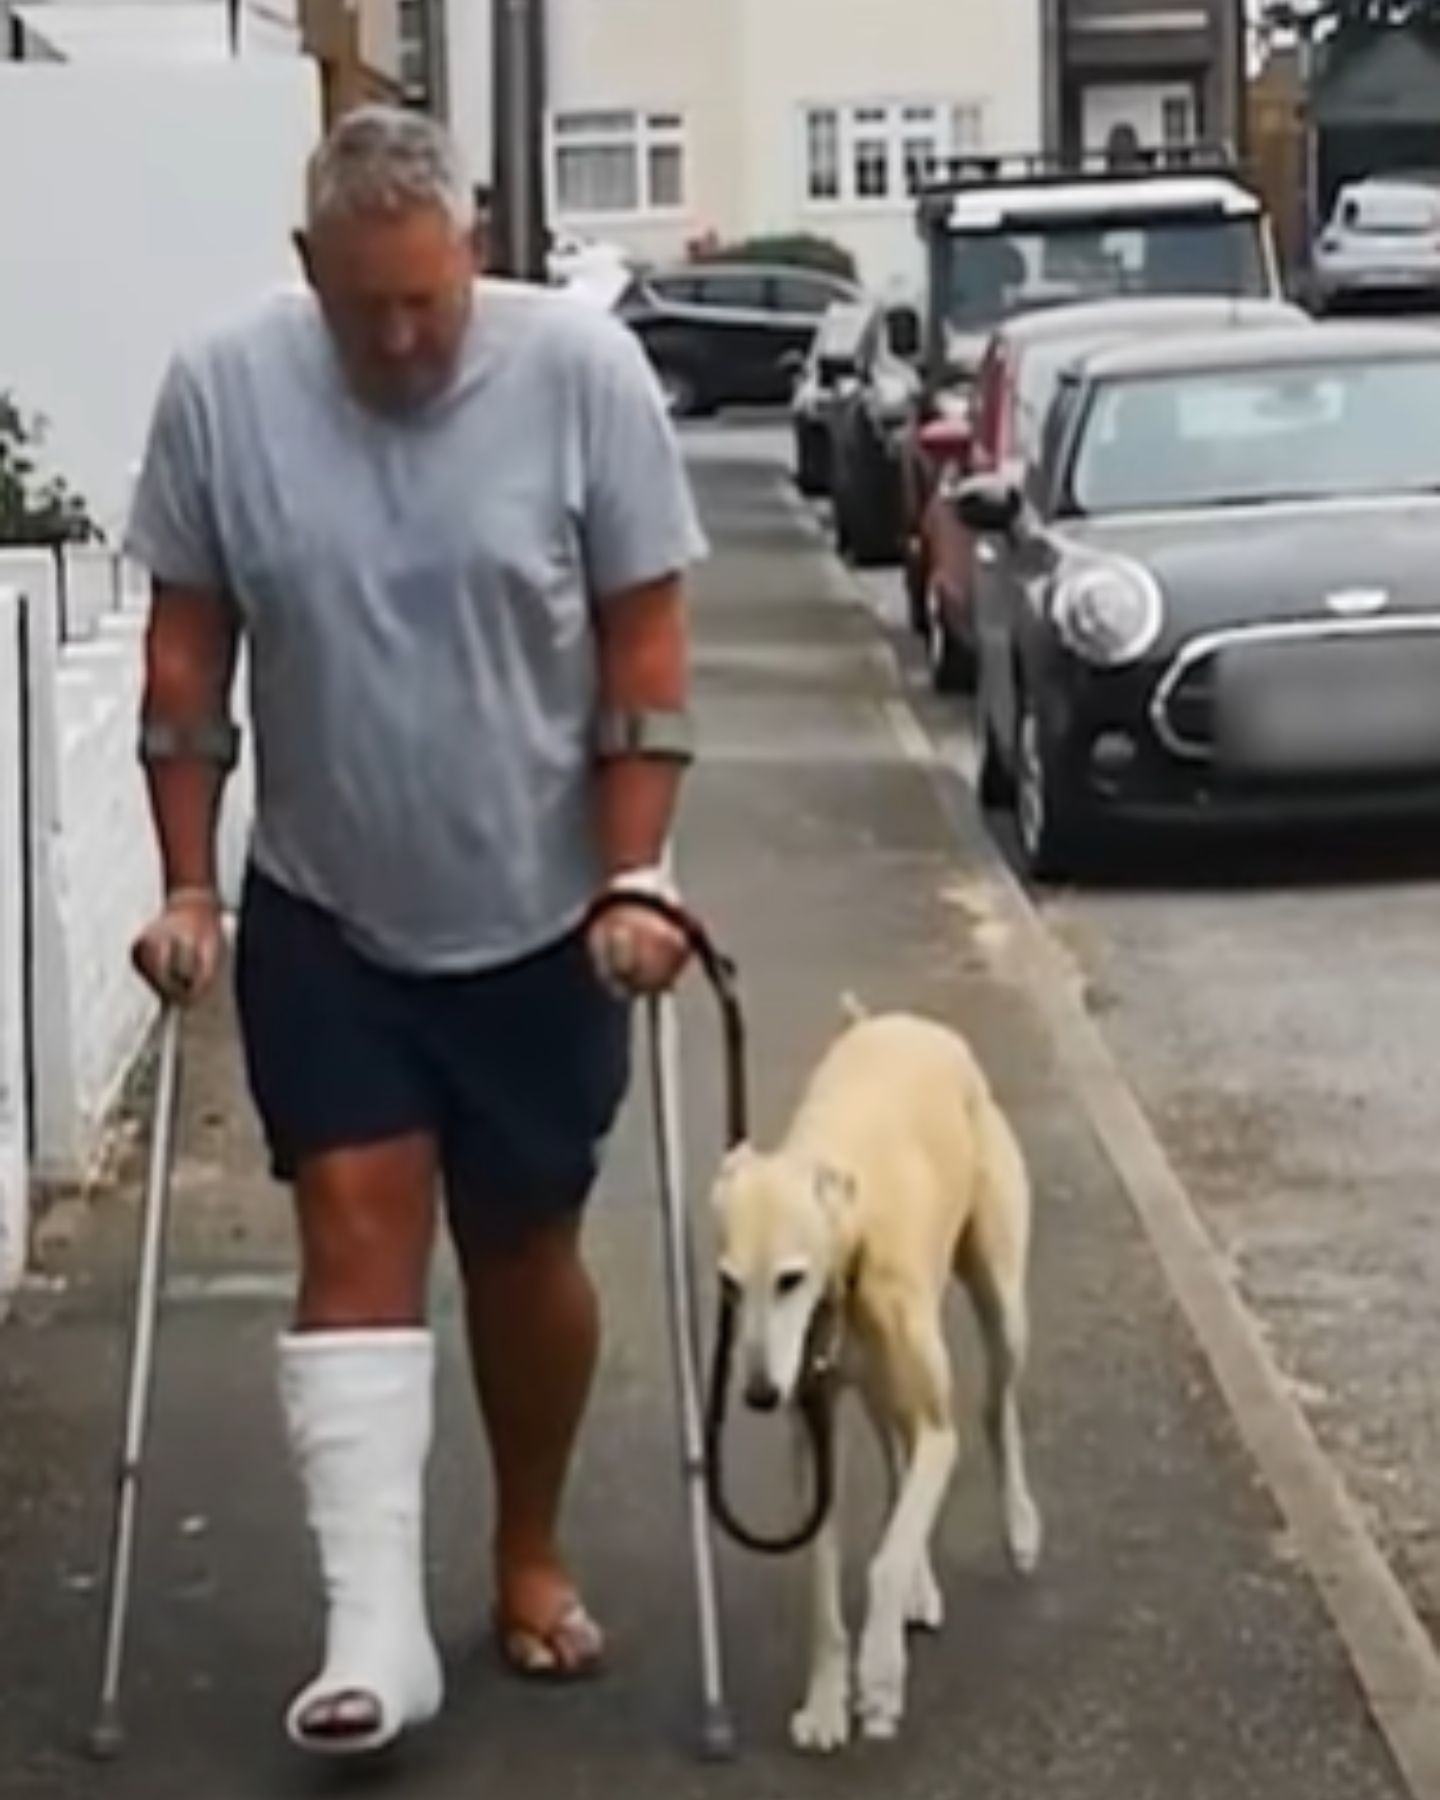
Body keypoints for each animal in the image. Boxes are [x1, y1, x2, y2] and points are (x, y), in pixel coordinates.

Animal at [712, 1008, 1044, 1749]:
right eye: (729, 1285)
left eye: (790, 1278)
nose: (758, 1394)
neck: (851, 1247)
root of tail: (901, 1021)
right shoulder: (814, 1437)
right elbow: (824, 1582)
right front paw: (826, 1703)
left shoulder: (936, 1430)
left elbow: (885, 1559)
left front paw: (882, 1678)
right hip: (875, 1389)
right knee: (900, 1468)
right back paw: (922, 1583)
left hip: (1002, 1308)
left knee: (994, 1410)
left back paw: (1018, 1526)